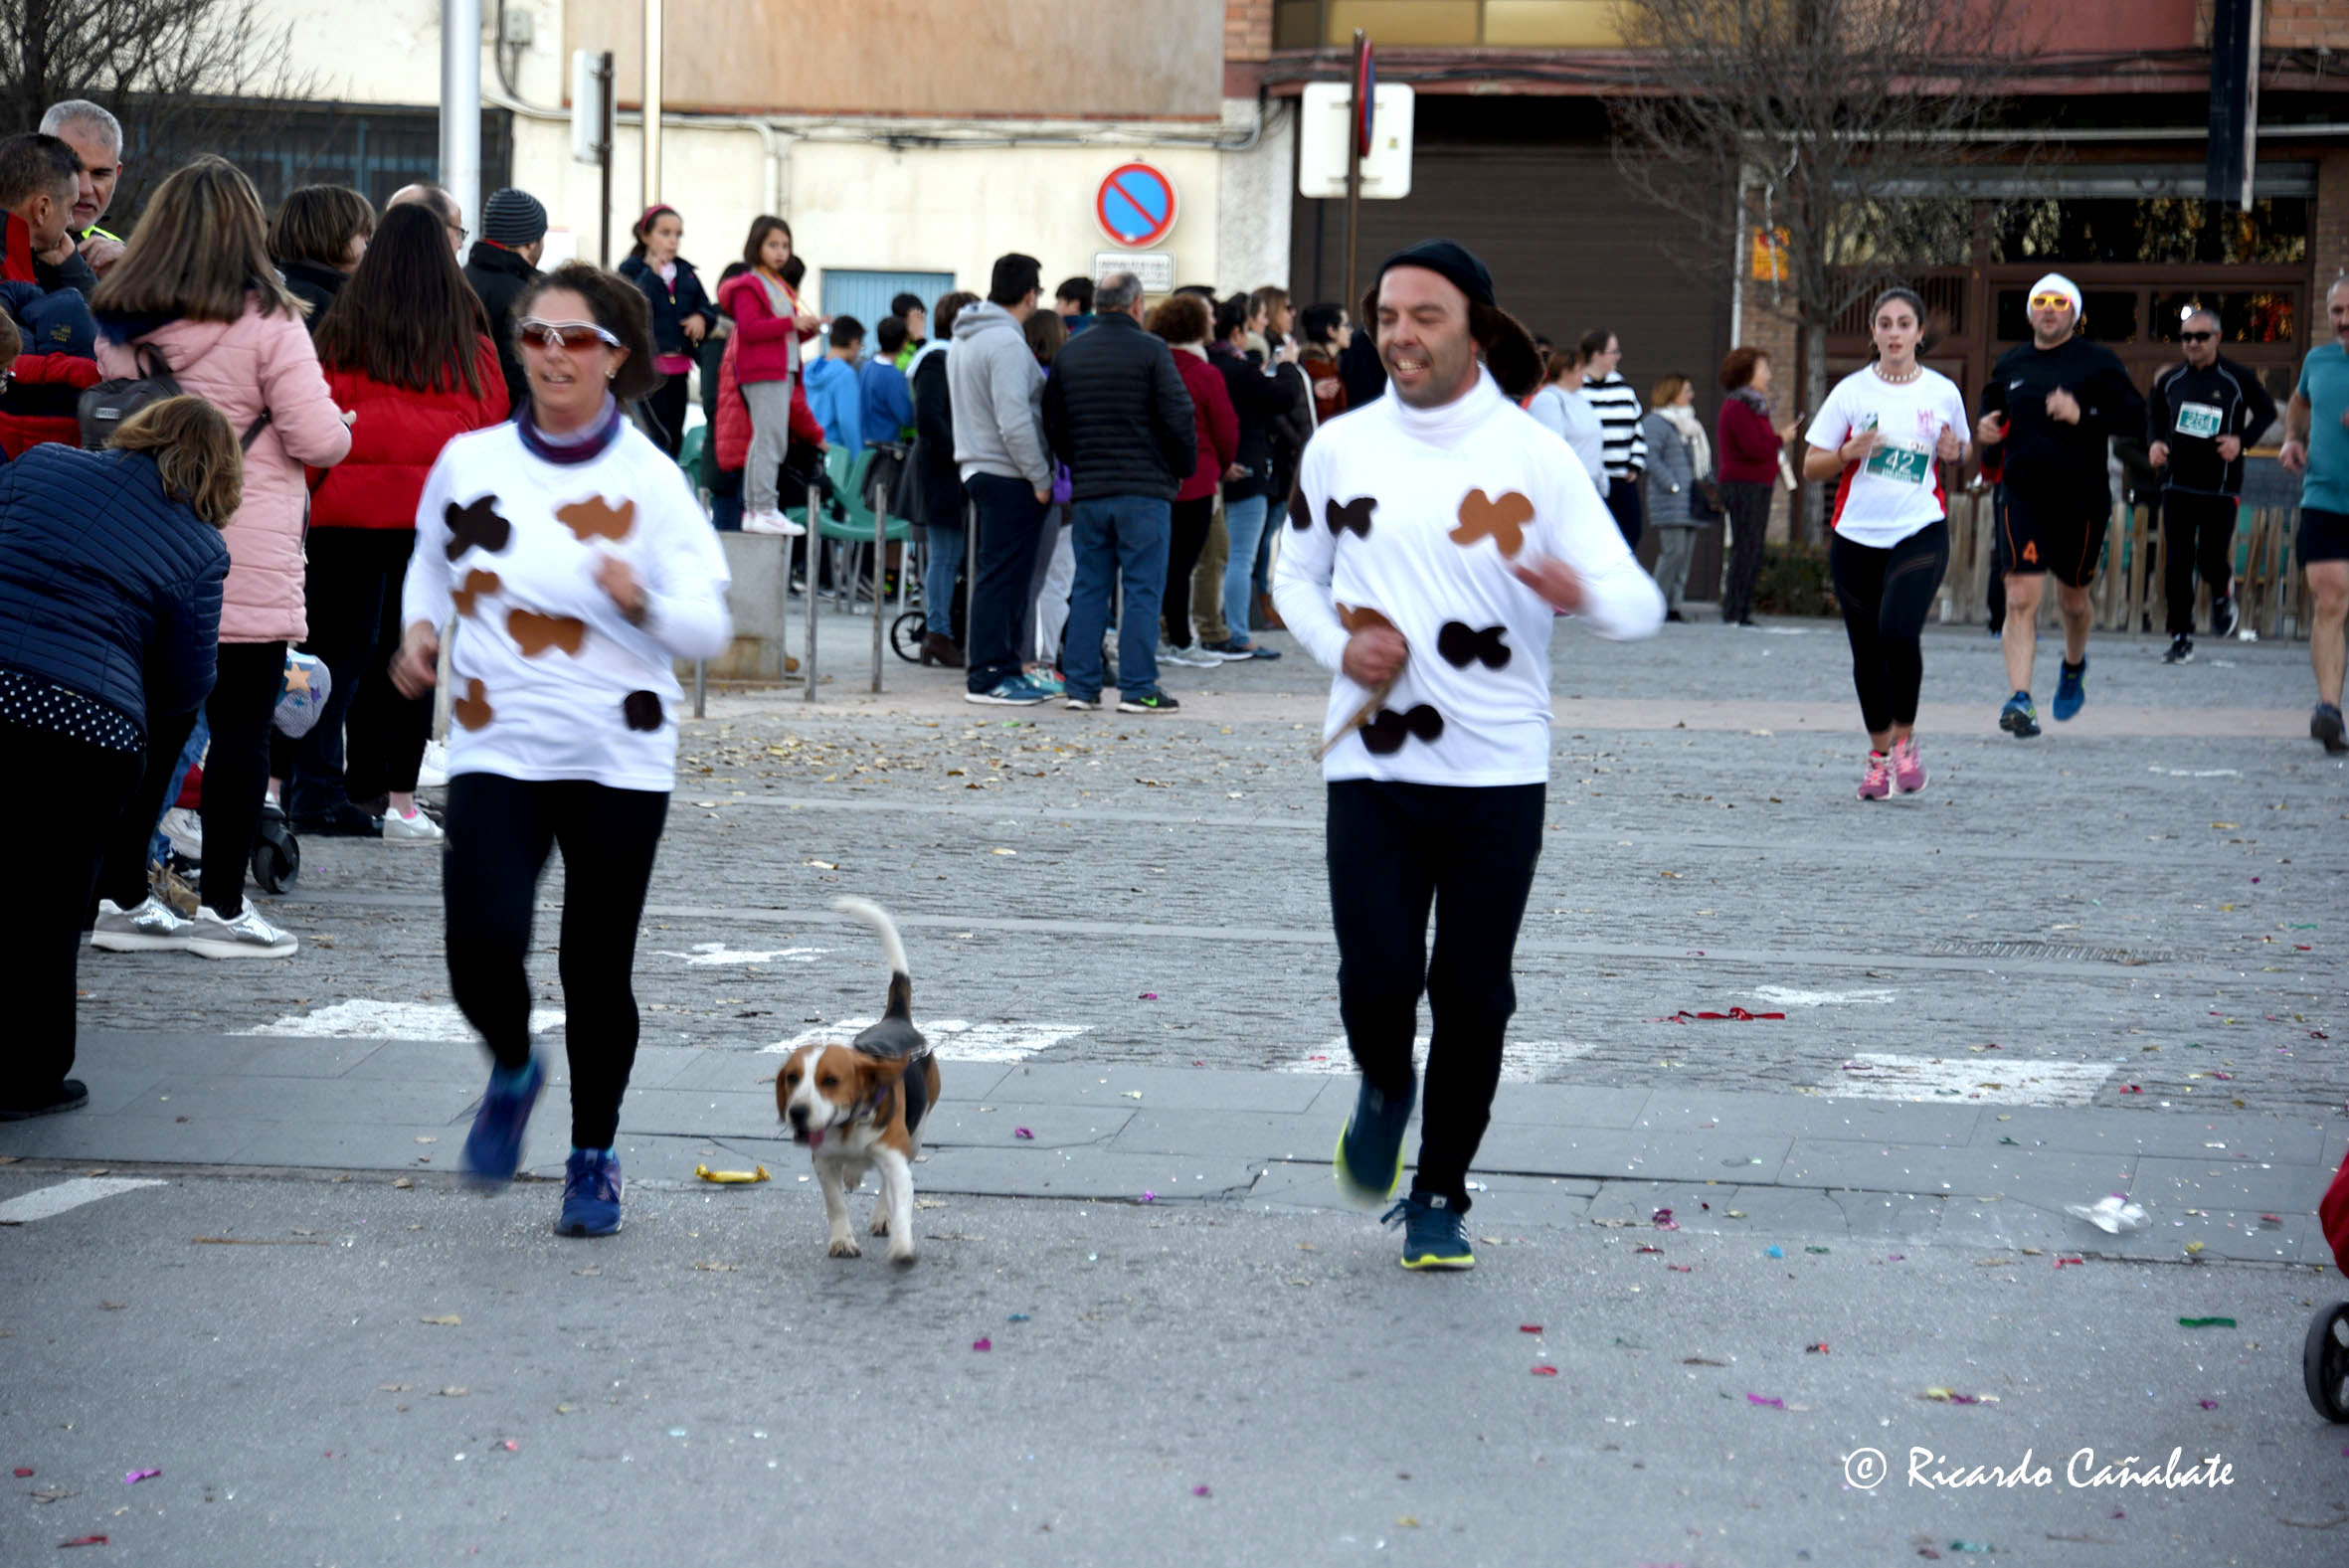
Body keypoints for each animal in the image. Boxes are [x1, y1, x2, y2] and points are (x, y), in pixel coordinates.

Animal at [776, 898, 940, 1263]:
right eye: (792, 1078)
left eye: (830, 1080)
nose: (797, 1113)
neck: (847, 1124)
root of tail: (896, 1018)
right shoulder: (823, 1161)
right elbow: (835, 1203)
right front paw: (842, 1241)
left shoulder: (895, 1158)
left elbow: (899, 1197)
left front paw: (902, 1245)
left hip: (915, 1137)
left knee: (887, 1185)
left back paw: (882, 1216)